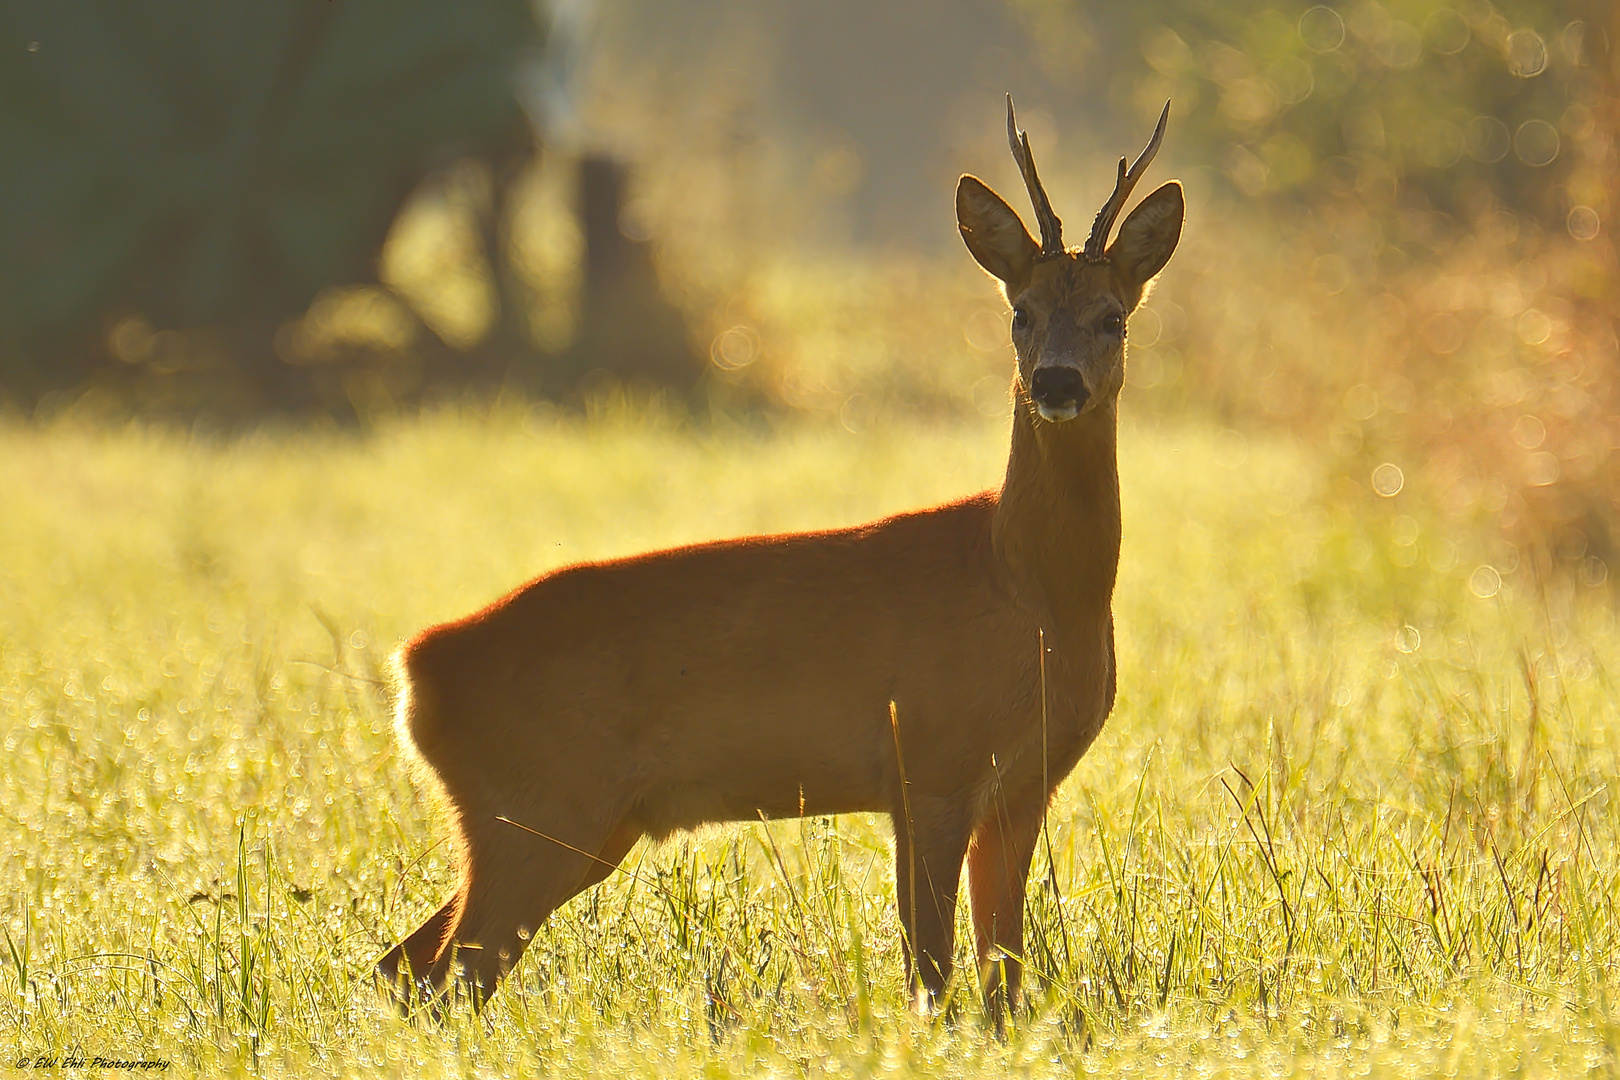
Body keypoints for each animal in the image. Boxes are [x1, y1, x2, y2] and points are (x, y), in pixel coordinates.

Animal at [383, 97, 1185, 1016]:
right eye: (1018, 311)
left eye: (1112, 316)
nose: (1056, 383)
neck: (1034, 588)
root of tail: (417, 666)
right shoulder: (928, 765)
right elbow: (931, 974)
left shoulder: (1022, 787)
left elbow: (1001, 985)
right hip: (540, 811)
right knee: (445, 976)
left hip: (575, 826)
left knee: (403, 964)